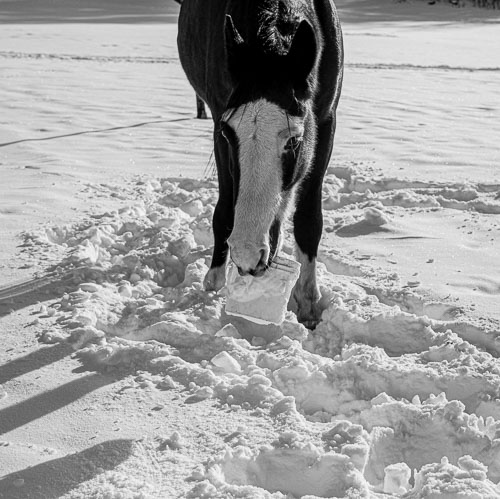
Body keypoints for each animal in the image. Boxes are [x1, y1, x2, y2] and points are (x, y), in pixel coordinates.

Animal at [179, 0, 344, 328]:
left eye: (294, 141)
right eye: (229, 134)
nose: (247, 255)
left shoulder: (325, 122)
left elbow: (308, 219)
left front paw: (309, 303)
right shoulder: (218, 122)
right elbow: (225, 208)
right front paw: (214, 282)